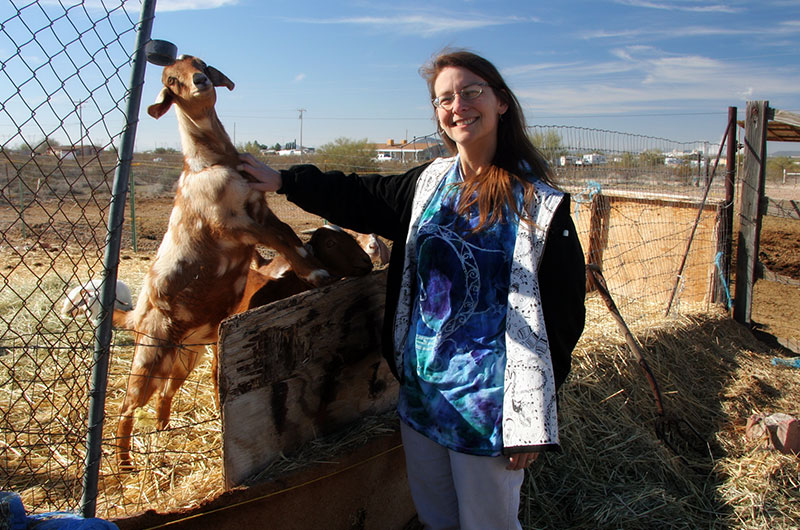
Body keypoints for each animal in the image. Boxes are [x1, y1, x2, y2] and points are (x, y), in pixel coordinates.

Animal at [112, 53, 328, 468]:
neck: (209, 164)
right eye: (171, 81)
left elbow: (288, 235)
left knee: (166, 393)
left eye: (200, 63)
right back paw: (125, 462)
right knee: (127, 407)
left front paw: (310, 266)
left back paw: (163, 428)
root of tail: (136, 316)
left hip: (188, 354)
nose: (200, 81)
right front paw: (317, 274)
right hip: (149, 355)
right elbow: (280, 239)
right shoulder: (232, 223)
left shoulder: (259, 209)